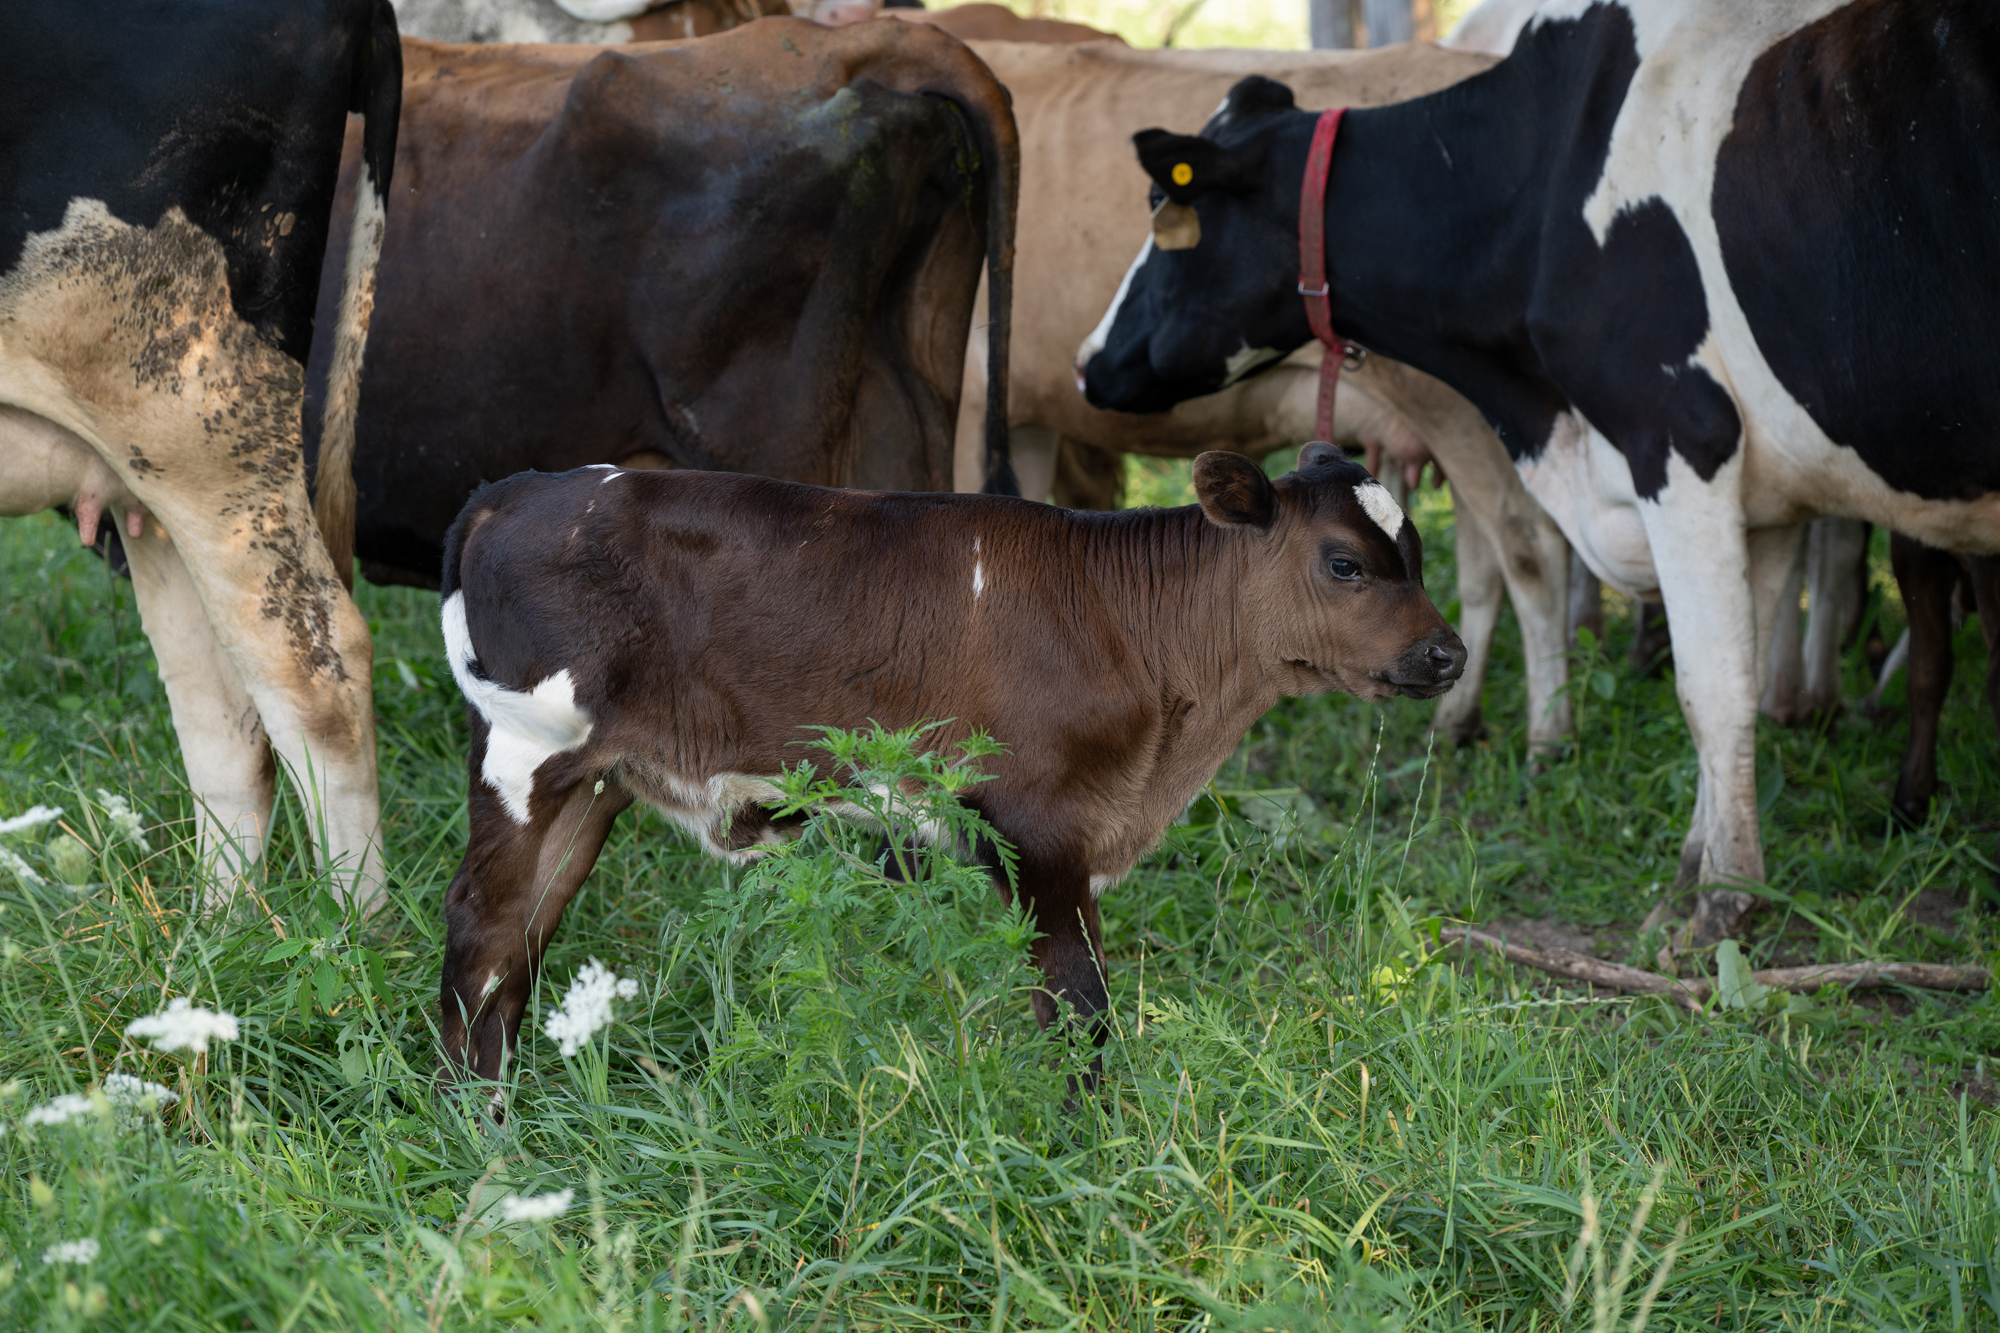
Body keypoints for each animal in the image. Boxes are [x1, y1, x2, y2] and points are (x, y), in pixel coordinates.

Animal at [0, 0, 400, 909]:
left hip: (195, 410)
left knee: (314, 668)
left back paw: (352, 927)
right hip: (147, 470)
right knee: (223, 710)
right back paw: (224, 926)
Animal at [433, 448, 1466, 1087]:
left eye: (1416, 555)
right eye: (1345, 564)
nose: (1448, 654)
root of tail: (514, 491)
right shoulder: (1035, 824)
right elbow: (1079, 1002)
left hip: (595, 777)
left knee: (525, 935)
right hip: (526, 750)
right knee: (483, 924)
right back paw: (475, 1123)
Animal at [948, 39, 1577, 751]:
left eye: (1162, 208)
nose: (1084, 365)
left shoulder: (972, 404)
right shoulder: (1026, 423)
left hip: (1469, 416)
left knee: (1531, 547)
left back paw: (1549, 735)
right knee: (1486, 561)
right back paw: (1458, 720)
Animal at [1078, 0, 2000, 945]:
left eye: (1165, 212)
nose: (1088, 362)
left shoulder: (1681, 441)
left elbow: (1709, 687)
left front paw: (1722, 902)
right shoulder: (1769, 502)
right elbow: (1731, 681)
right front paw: (1695, 870)